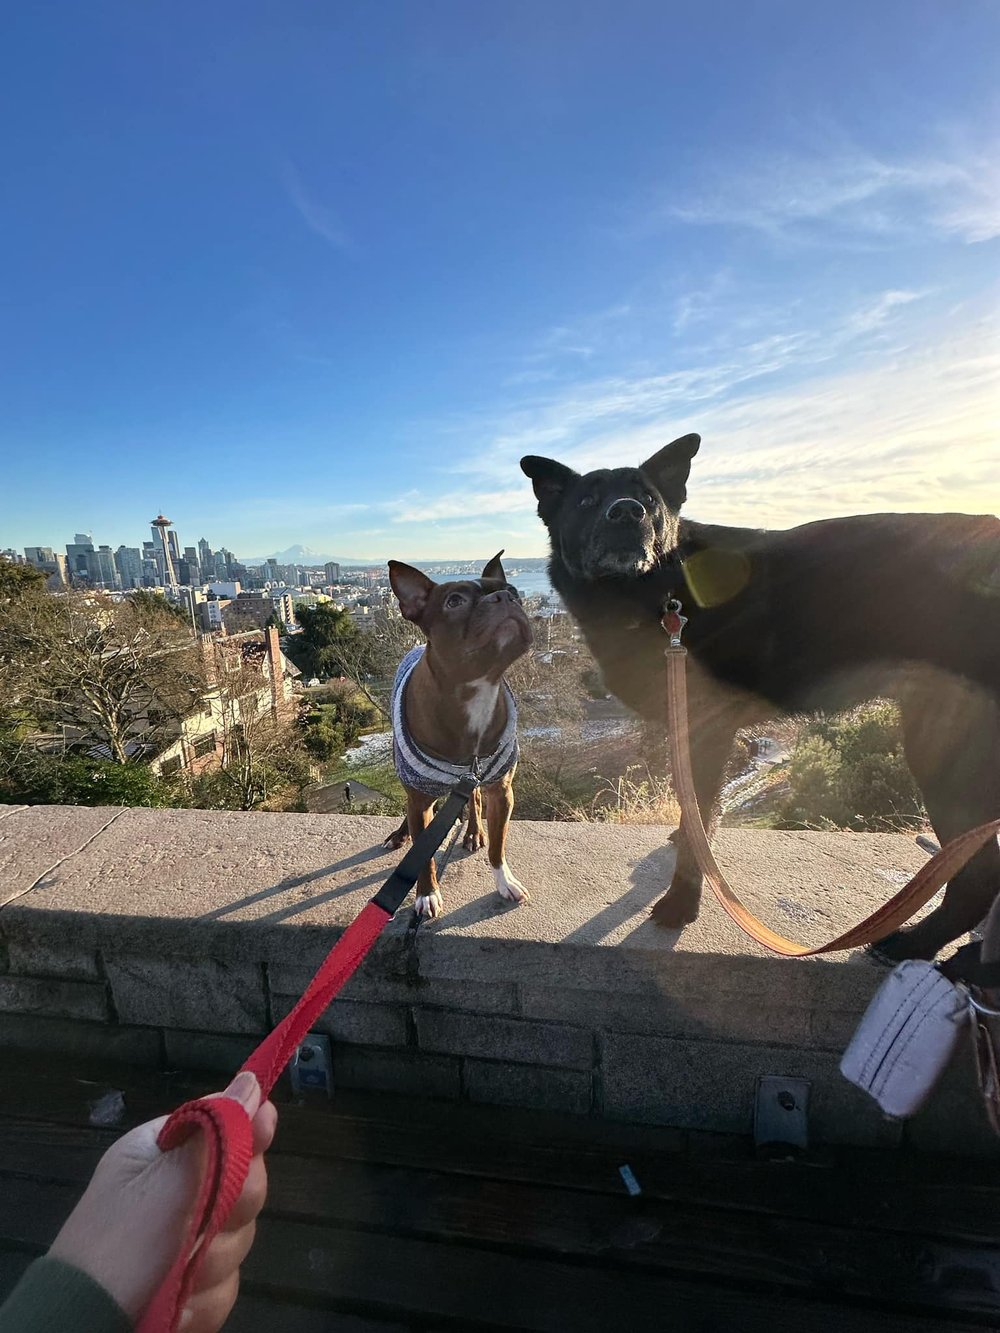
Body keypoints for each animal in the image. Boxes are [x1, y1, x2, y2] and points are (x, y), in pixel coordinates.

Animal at [381, 551, 533, 917]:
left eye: (514, 591)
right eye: (454, 601)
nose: (505, 596)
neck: (475, 687)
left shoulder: (501, 791)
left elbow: (498, 844)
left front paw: (504, 881)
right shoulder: (420, 800)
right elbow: (422, 857)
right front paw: (426, 894)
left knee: (474, 798)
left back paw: (474, 832)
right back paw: (400, 834)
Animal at [520, 437, 1000, 959]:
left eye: (648, 498)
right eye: (587, 500)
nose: (627, 512)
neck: (659, 590)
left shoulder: (707, 729)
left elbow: (697, 816)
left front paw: (682, 902)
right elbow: (696, 810)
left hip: (946, 754)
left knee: (979, 875)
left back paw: (916, 946)